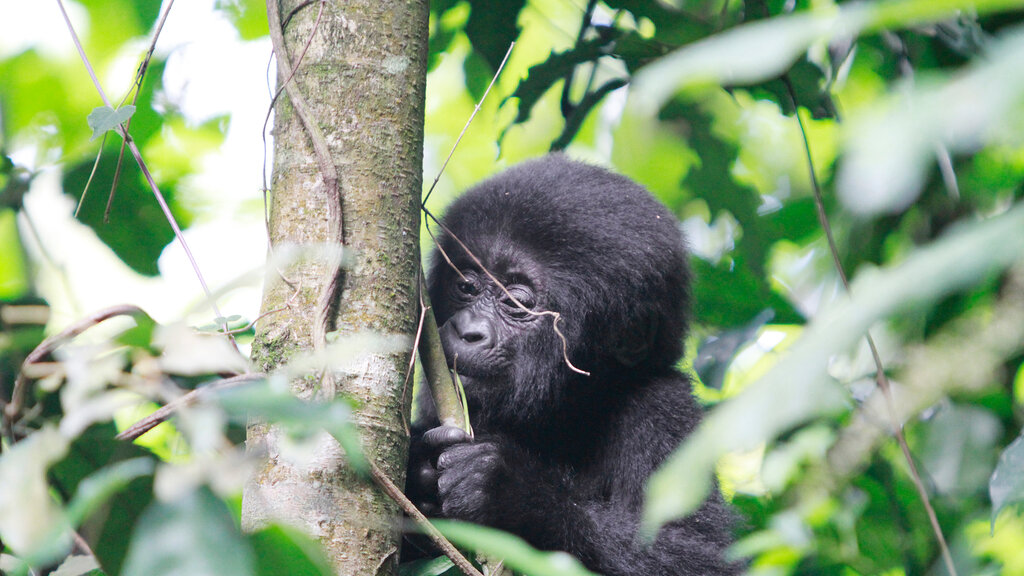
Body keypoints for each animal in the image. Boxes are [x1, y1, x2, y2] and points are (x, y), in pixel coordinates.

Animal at [407, 154, 737, 569]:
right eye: (466, 286)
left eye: (515, 302)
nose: (467, 331)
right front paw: (417, 468)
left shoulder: (663, 408)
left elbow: (702, 553)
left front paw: (511, 490)